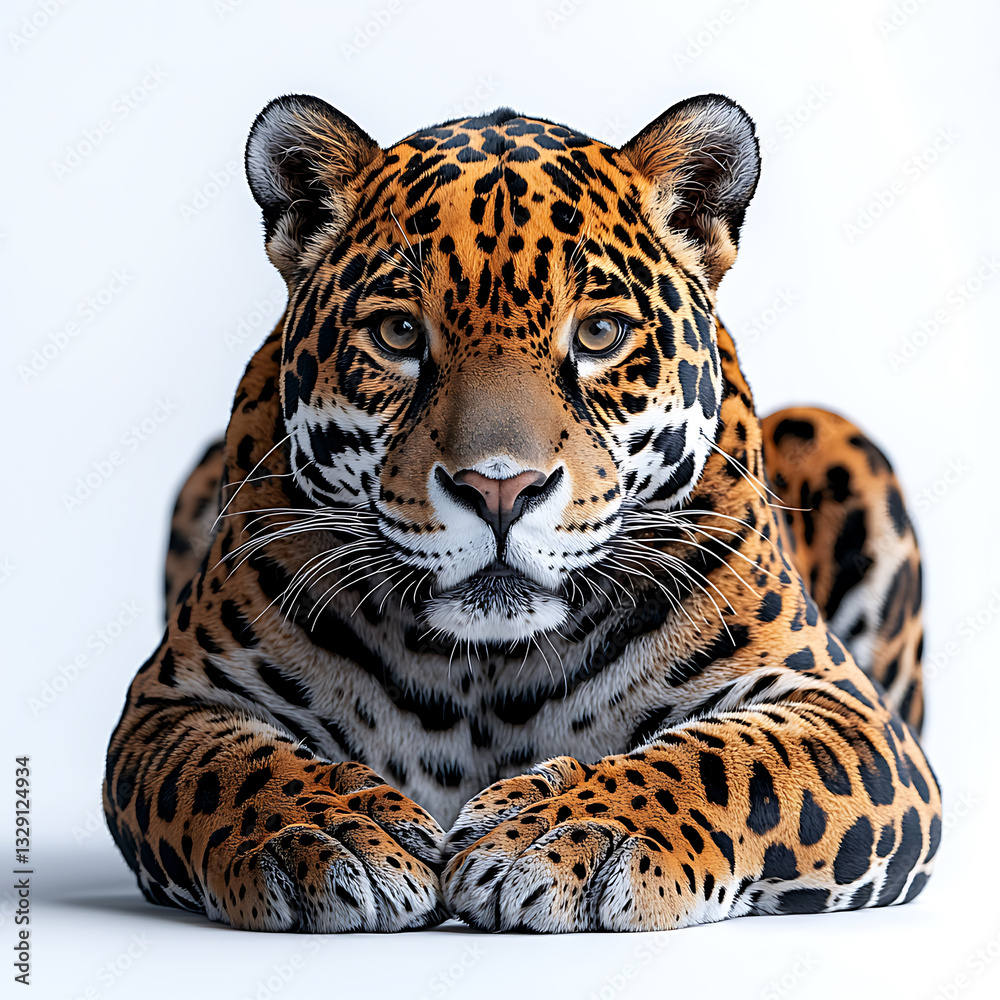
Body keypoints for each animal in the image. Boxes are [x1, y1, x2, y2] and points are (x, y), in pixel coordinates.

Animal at [105, 92, 940, 933]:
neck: (486, 667)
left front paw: (559, 829)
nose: (500, 490)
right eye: (398, 333)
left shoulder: (843, 709)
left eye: (600, 334)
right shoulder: (171, 704)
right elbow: (230, 772)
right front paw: (340, 826)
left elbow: (724, 766)